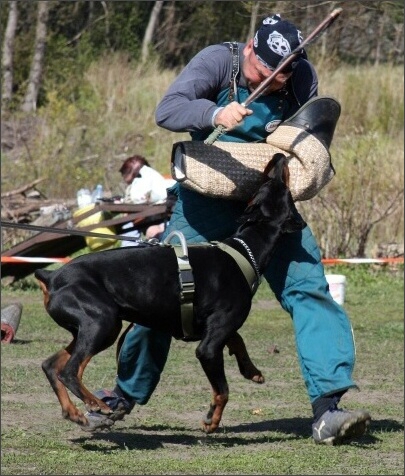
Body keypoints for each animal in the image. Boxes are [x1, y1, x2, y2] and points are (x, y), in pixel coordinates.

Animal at [36, 153, 304, 436]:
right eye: (282, 187)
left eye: (264, 186)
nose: (279, 157)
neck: (245, 250)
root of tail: (52, 277)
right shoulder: (208, 347)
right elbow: (223, 390)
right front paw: (212, 420)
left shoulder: (213, 327)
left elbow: (237, 338)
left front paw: (251, 369)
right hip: (102, 321)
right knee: (69, 370)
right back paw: (96, 404)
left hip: (93, 328)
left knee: (51, 365)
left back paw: (75, 413)